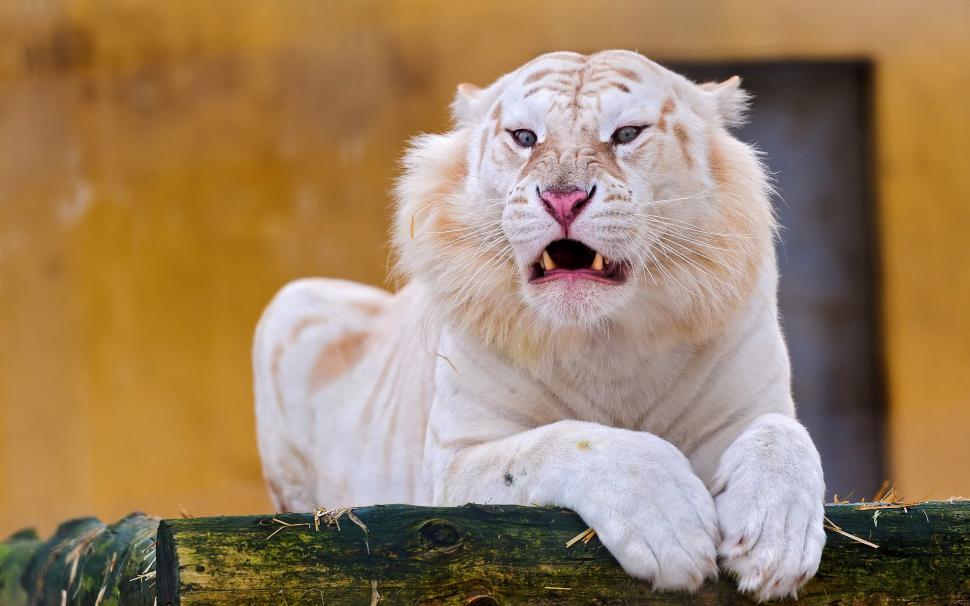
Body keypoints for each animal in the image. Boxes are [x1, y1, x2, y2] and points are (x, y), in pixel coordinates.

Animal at [253, 49, 825, 601]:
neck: (607, 340)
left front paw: (777, 545)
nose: (563, 198)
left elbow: (784, 436)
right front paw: (672, 525)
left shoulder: (749, 406)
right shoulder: (454, 462)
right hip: (291, 305)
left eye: (627, 133)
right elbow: (560, 443)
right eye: (525, 137)